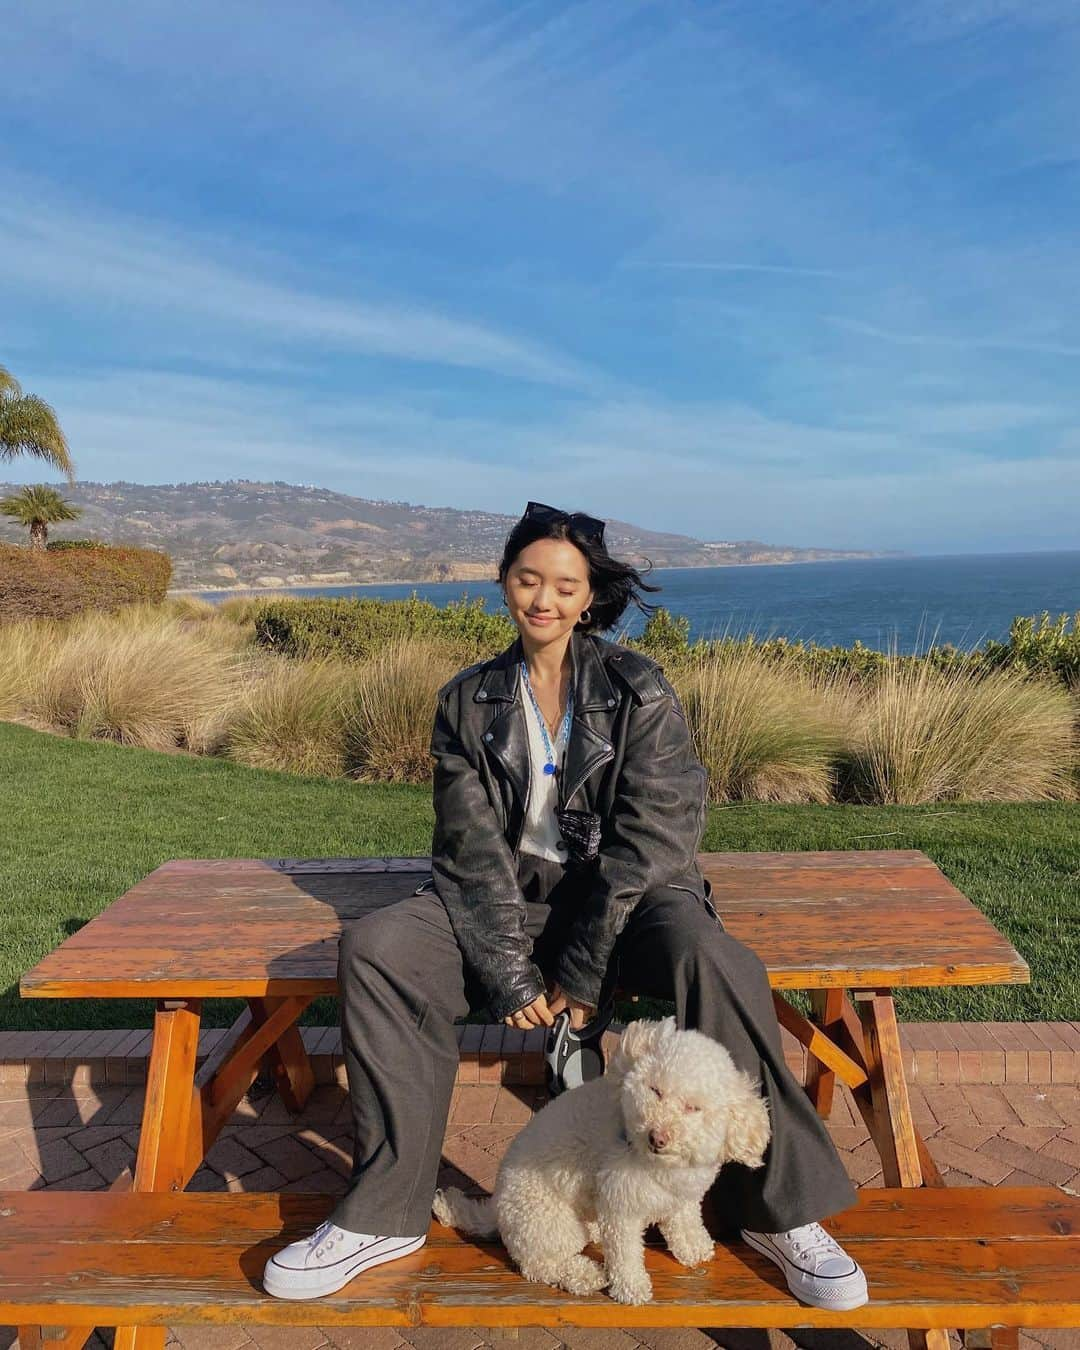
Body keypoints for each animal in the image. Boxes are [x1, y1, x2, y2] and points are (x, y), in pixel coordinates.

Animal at [429, 1015, 766, 1301]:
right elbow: (626, 1253)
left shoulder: (682, 1196)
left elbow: (684, 1220)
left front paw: (694, 1247)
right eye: (655, 1090)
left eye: (692, 1107)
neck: (660, 1165)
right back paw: (584, 1274)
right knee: (539, 1266)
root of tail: (497, 1208)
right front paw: (632, 1289)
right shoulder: (620, 1205)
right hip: (551, 1223)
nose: (657, 1137)